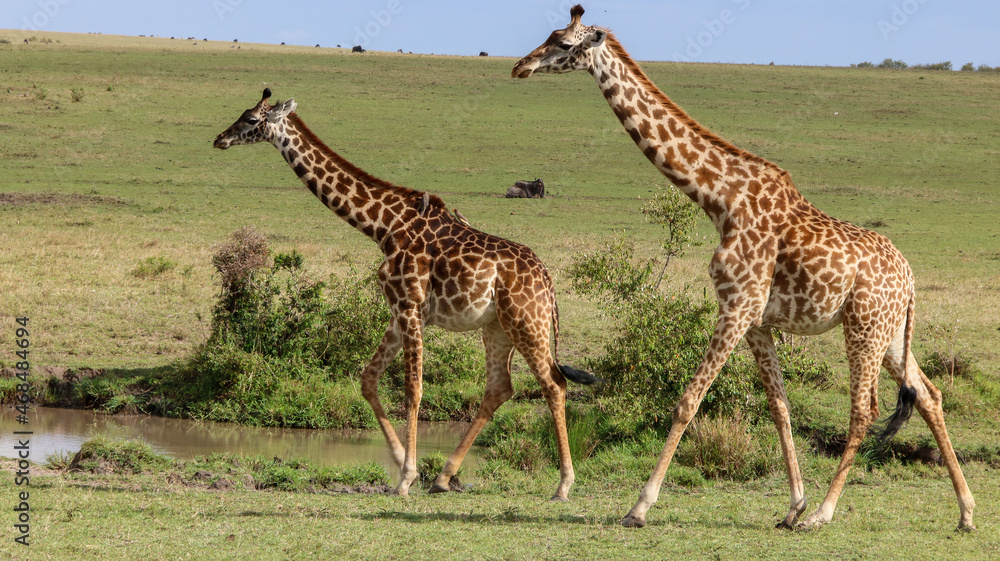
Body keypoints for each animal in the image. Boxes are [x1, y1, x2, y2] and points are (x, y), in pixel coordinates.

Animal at [214, 88, 599, 499]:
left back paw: (563, 484)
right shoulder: (401, 309)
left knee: (554, 385)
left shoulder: (410, 305)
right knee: (499, 388)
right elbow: (368, 378)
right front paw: (401, 463)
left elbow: (413, 388)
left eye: (252, 119)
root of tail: (548, 282)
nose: (220, 139)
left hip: (527, 322)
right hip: (496, 327)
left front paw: (406, 477)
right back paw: (444, 476)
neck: (384, 227)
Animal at [512, 5, 975, 531]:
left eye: (564, 44)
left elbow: (688, 401)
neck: (720, 200)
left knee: (865, 408)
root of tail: (910, 277)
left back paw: (825, 512)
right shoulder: (756, 320)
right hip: (893, 332)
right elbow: (779, 407)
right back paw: (965, 511)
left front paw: (640, 506)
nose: (521, 66)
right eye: (549, 35)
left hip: (864, 327)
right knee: (929, 395)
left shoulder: (735, 308)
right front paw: (792, 504)